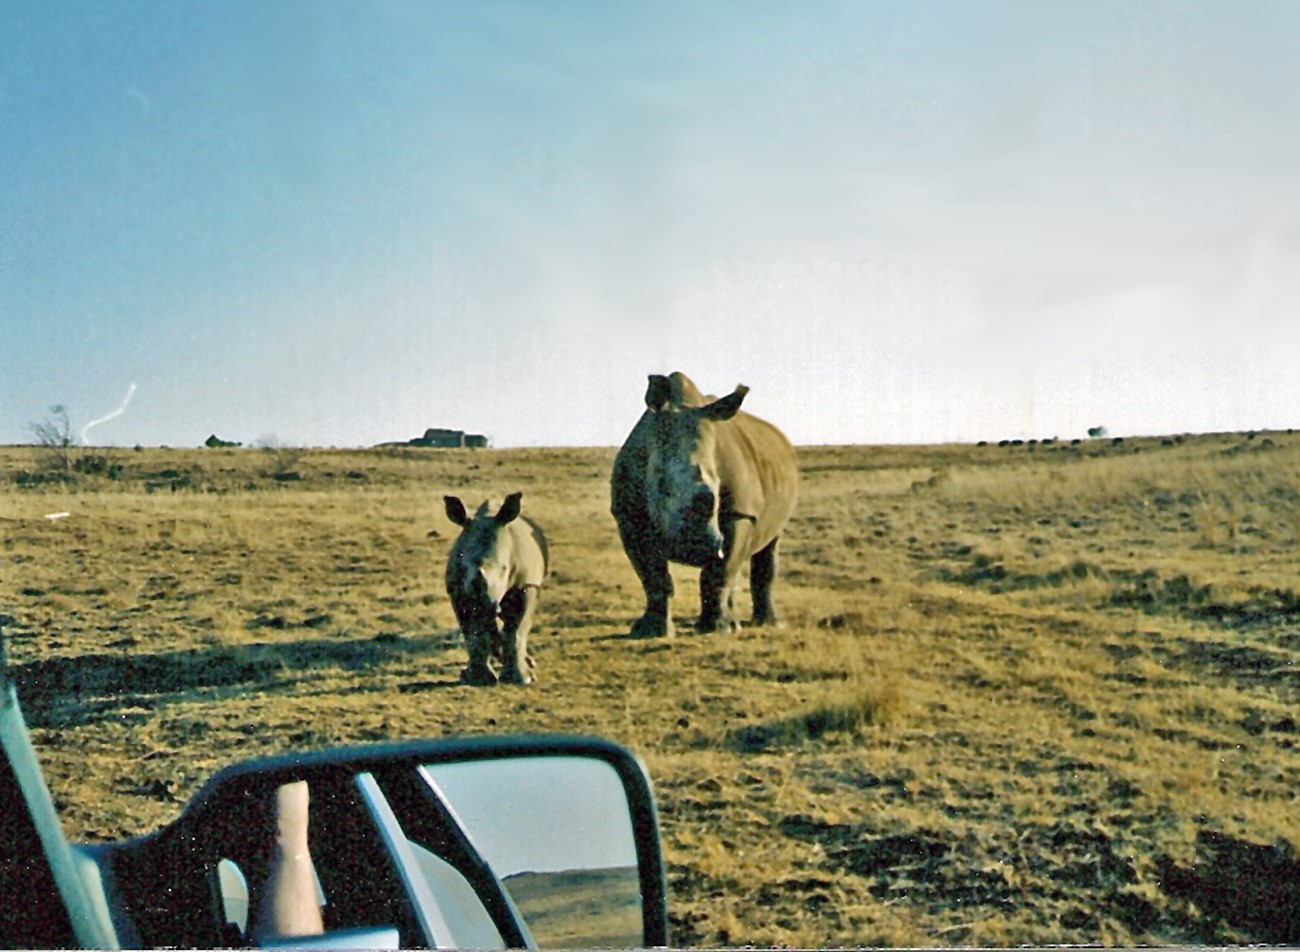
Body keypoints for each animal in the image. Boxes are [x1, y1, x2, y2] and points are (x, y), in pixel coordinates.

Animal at [443, 492, 548, 685]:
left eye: (505, 568)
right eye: (463, 566)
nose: (483, 606)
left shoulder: (526, 584)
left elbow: (517, 630)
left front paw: (522, 679)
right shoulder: (457, 590)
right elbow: (471, 632)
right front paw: (477, 679)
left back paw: (527, 662)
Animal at [611, 372, 798, 638]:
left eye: (718, 486)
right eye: (660, 484)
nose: (696, 547)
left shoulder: (739, 512)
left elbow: (718, 573)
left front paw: (718, 629)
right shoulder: (628, 516)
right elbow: (652, 576)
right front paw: (650, 631)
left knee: (768, 546)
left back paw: (764, 624)